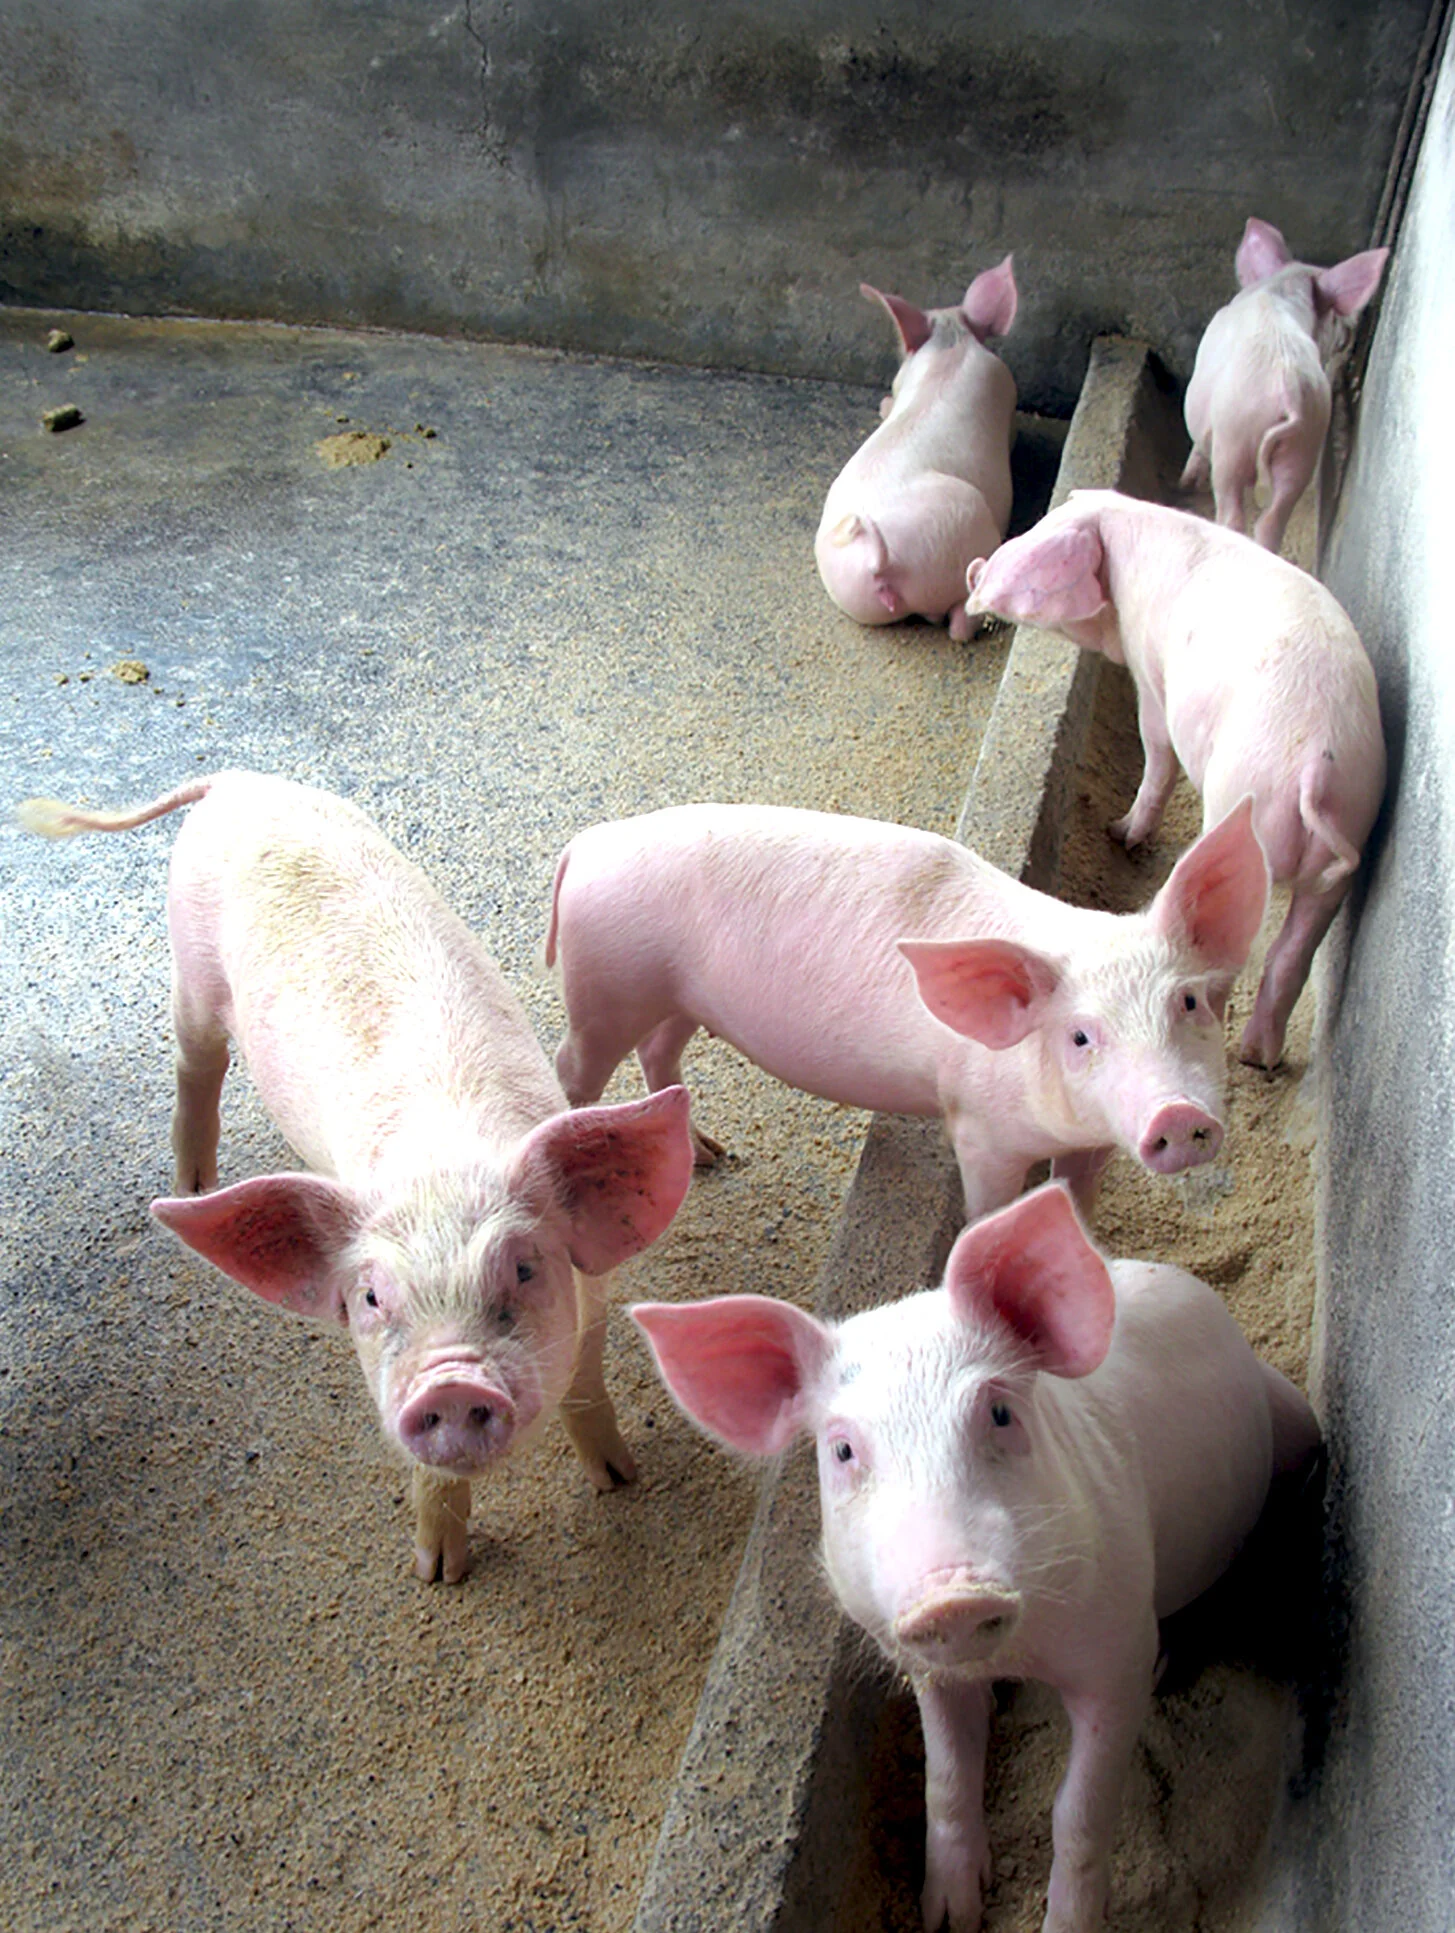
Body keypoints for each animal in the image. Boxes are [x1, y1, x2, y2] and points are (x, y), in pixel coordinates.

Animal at [18, 771, 694, 1583]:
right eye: (371, 1297)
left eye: (526, 1269)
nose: (451, 1381)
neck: (440, 1161)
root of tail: (234, 779)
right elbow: (431, 1472)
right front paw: (438, 1575)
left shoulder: (592, 1298)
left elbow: (586, 1386)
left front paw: (620, 1480)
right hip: (189, 969)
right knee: (196, 1066)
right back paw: (190, 1184)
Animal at [546, 798, 1268, 1221]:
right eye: (1081, 1036)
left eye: (1189, 1001)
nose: (1177, 1114)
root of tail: (586, 843)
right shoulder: (981, 1130)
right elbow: (989, 1208)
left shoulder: (1094, 1140)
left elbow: (1077, 1198)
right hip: (606, 985)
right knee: (571, 1065)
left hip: (674, 994)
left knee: (658, 1050)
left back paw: (713, 1155)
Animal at [632, 1180, 1320, 1933]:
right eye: (841, 1449)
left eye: (998, 1412)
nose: (950, 1595)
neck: (1020, 1654)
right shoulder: (921, 1662)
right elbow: (946, 1778)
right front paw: (947, 1917)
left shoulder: (1117, 1650)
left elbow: (1080, 1811)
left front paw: (1063, 1925)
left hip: (1294, 1431)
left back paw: (1172, 1663)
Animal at [963, 488, 1386, 1068]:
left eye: (1045, 527)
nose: (974, 567)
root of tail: (1313, 768)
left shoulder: (1150, 671)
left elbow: (1157, 745)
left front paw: (1120, 835)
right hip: (1349, 837)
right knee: (1288, 956)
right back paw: (1258, 1058)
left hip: (1240, 801)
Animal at [1180, 217, 1388, 554]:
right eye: (1333, 317)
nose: (1346, 334)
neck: (1281, 288)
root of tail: (1285, 390)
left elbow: (1197, 444)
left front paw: (1185, 482)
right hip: (1304, 444)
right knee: (1272, 521)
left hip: (1233, 442)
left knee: (1233, 513)